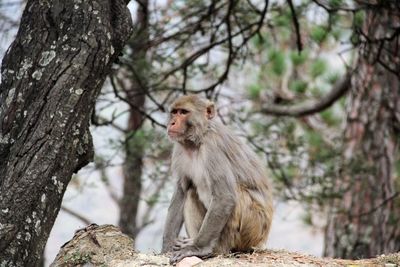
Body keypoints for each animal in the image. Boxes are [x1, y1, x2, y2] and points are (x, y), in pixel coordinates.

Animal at [161, 93, 274, 264]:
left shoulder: (213, 149)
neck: (197, 140)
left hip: (253, 228)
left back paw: (216, 249)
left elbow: (225, 197)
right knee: (191, 192)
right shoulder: (180, 149)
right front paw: (167, 245)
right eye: (174, 112)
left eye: (184, 112)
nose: (172, 122)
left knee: (236, 194)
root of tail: (262, 239)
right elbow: (182, 190)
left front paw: (197, 248)